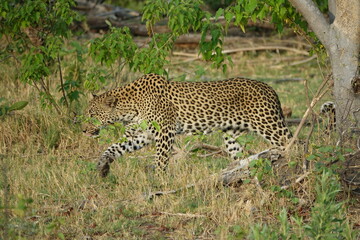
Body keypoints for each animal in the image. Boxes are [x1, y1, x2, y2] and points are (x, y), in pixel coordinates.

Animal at [84, 73, 292, 176]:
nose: (84, 129)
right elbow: (113, 147)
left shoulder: (164, 132)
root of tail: (270, 88)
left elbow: (160, 160)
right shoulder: (140, 136)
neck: (129, 108)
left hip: (268, 124)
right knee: (241, 158)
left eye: (92, 115)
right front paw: (102, 166)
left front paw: (159, 182)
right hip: (231, 136)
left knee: (290, 143)